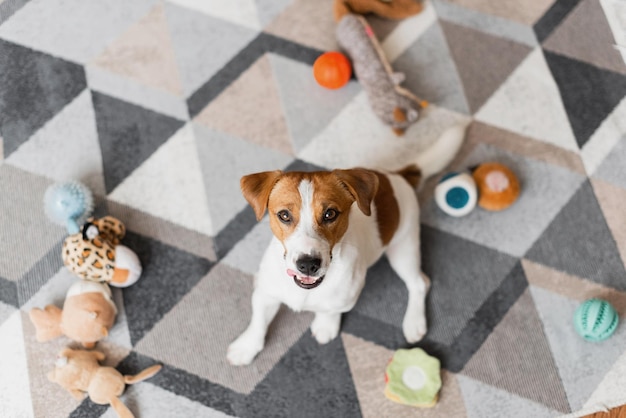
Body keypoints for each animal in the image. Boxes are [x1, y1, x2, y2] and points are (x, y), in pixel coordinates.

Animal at [227, 124, 466, 366]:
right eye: (284, 215)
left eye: (330, 214)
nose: (308, 264)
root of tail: (398, 176)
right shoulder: (265, 292)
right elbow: (258, 321)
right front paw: (247, 347)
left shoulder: (346, 297)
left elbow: (331, 310)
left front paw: (326, 324)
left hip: (404, 248)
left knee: (419, 283)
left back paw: (414, 322)